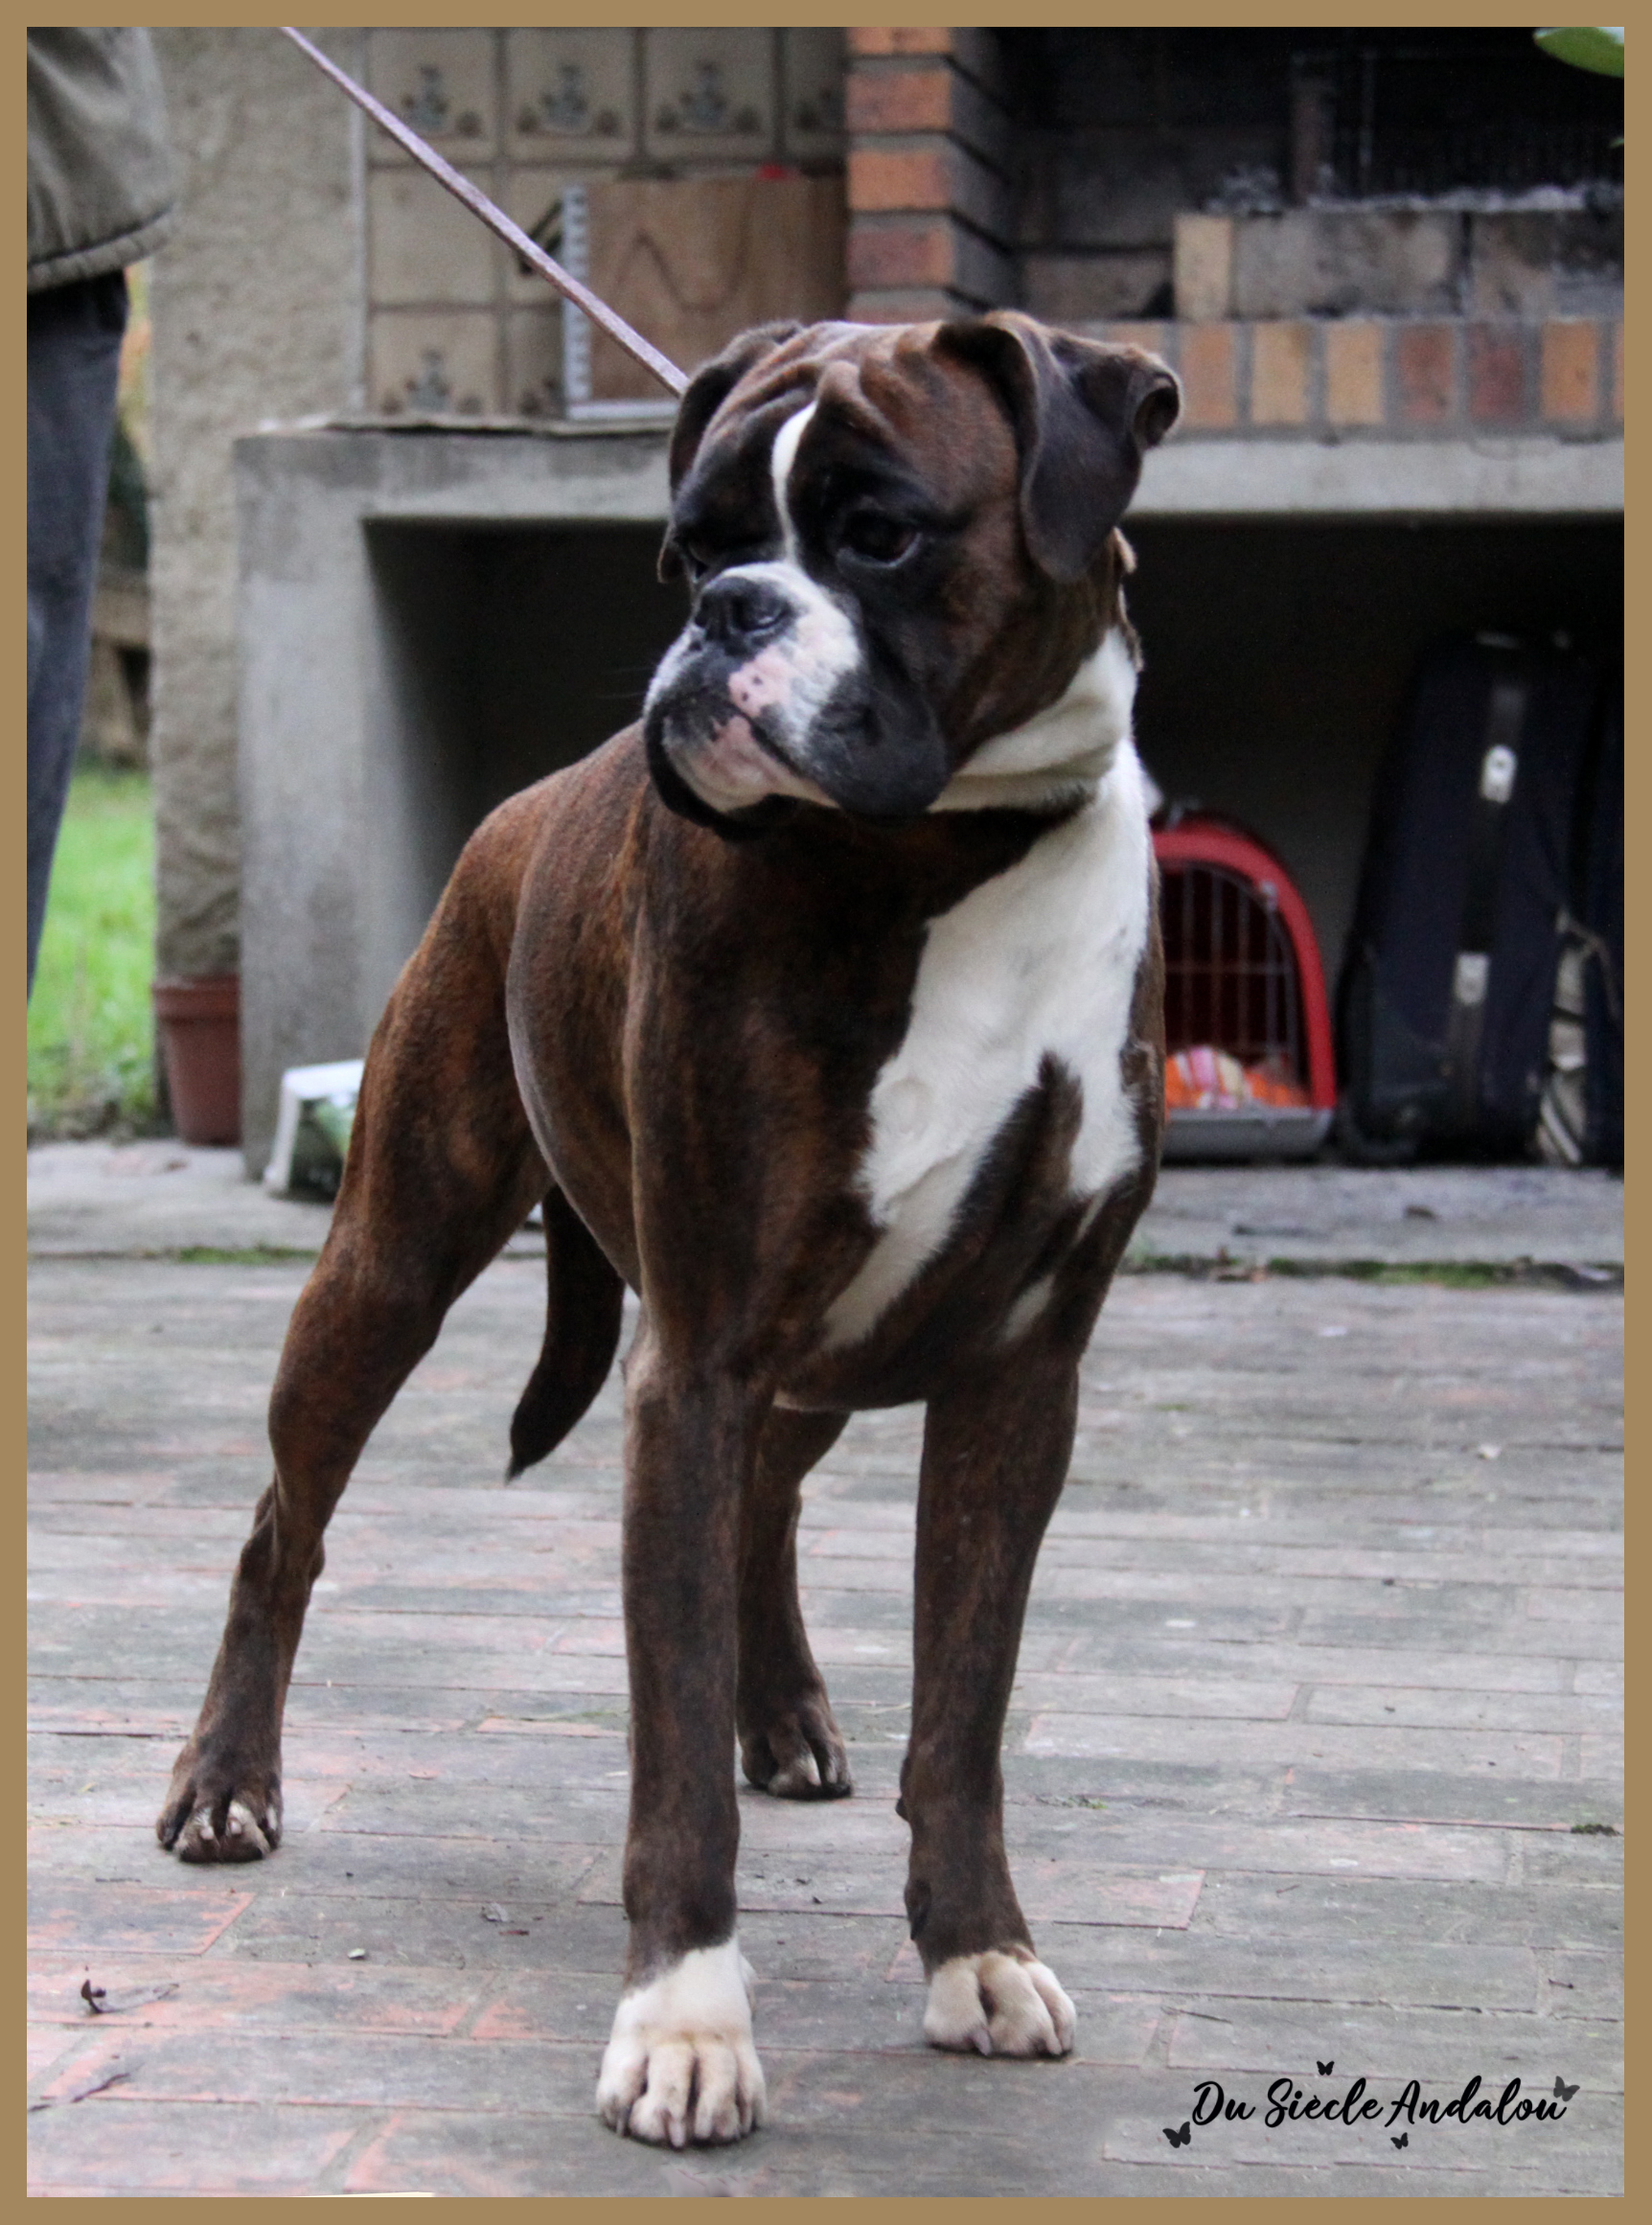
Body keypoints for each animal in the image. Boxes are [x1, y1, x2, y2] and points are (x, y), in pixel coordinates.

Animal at [158, 312, 1180, 2147]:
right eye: (695, 547)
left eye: (878, 532)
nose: (725, 618)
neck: (942, 857)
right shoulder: (691, 1363)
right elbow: (670, 1745)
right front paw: (684, 2024)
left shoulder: (1015, 1376)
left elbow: (965, 1706)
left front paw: (977, 1951)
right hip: (389, 1265)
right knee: (285, 1528)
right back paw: (225, 1785)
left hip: (833, 1347)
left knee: (768, 1501)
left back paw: (785, 1710)